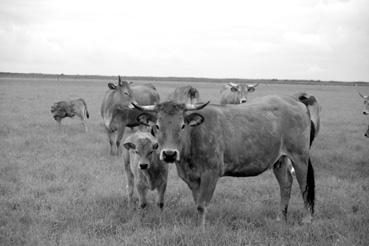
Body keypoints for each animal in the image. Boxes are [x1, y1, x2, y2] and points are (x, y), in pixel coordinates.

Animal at [132, 95, 316, 230]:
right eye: (157, 126)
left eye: (183, 125)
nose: (169, 154)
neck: (194, 136)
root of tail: (297, 102)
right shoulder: (193, 178)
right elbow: (197, 203)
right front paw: (197, 226)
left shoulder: (211, 174)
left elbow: (202, 205)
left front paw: (201, 230)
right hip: (279, 160)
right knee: (286, 184)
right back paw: (280, 218)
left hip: (300, 157)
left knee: (304, 186)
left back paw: (307, 220)